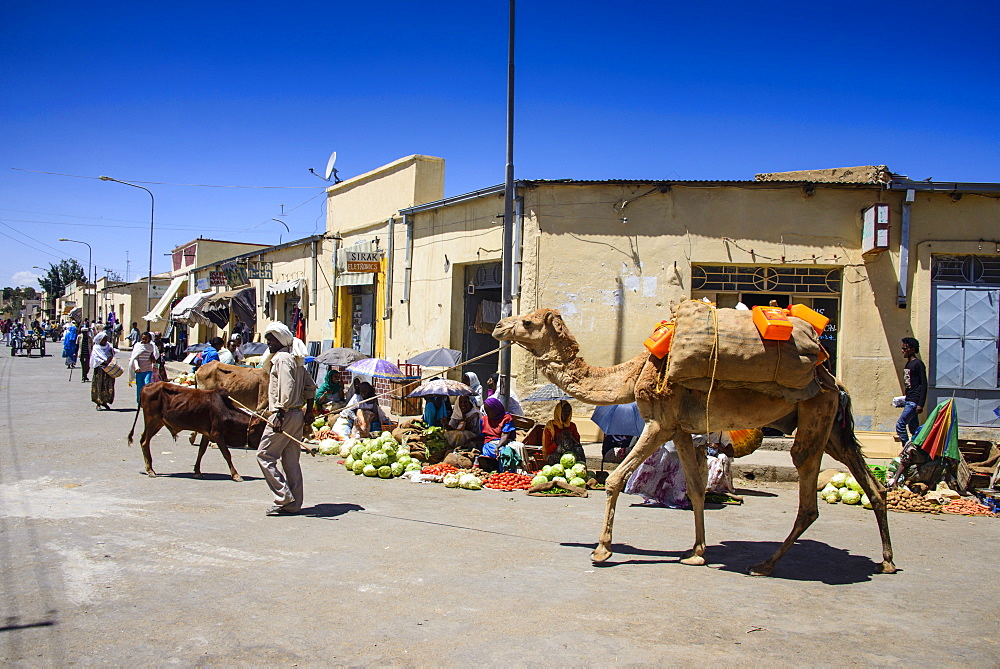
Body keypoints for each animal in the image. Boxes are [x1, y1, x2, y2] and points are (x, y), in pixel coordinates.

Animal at [126, 380, 266, 480]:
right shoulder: (217, 434)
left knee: (144, 440)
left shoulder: (207, 434)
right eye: (260, 430)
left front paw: (197, 471)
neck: (225, 410)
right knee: (144, 441)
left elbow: (201, 452)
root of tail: (146, 386)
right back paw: (150, 470)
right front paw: (236, 475)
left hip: (157, 423)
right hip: (152, 421)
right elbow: (227, 454)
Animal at [496, 306, 896, 576]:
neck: (632, 373)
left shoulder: (659, 423)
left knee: (808, 497)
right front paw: (697, 552)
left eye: (529, 321)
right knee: (872, 485)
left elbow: (615, 479)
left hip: (815, 416)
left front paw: (602, 551)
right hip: (831, 428)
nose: (500, 325)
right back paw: (888, 561)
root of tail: (834, 381)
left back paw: (764, 565)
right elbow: (695, 488)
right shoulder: (681, 429)